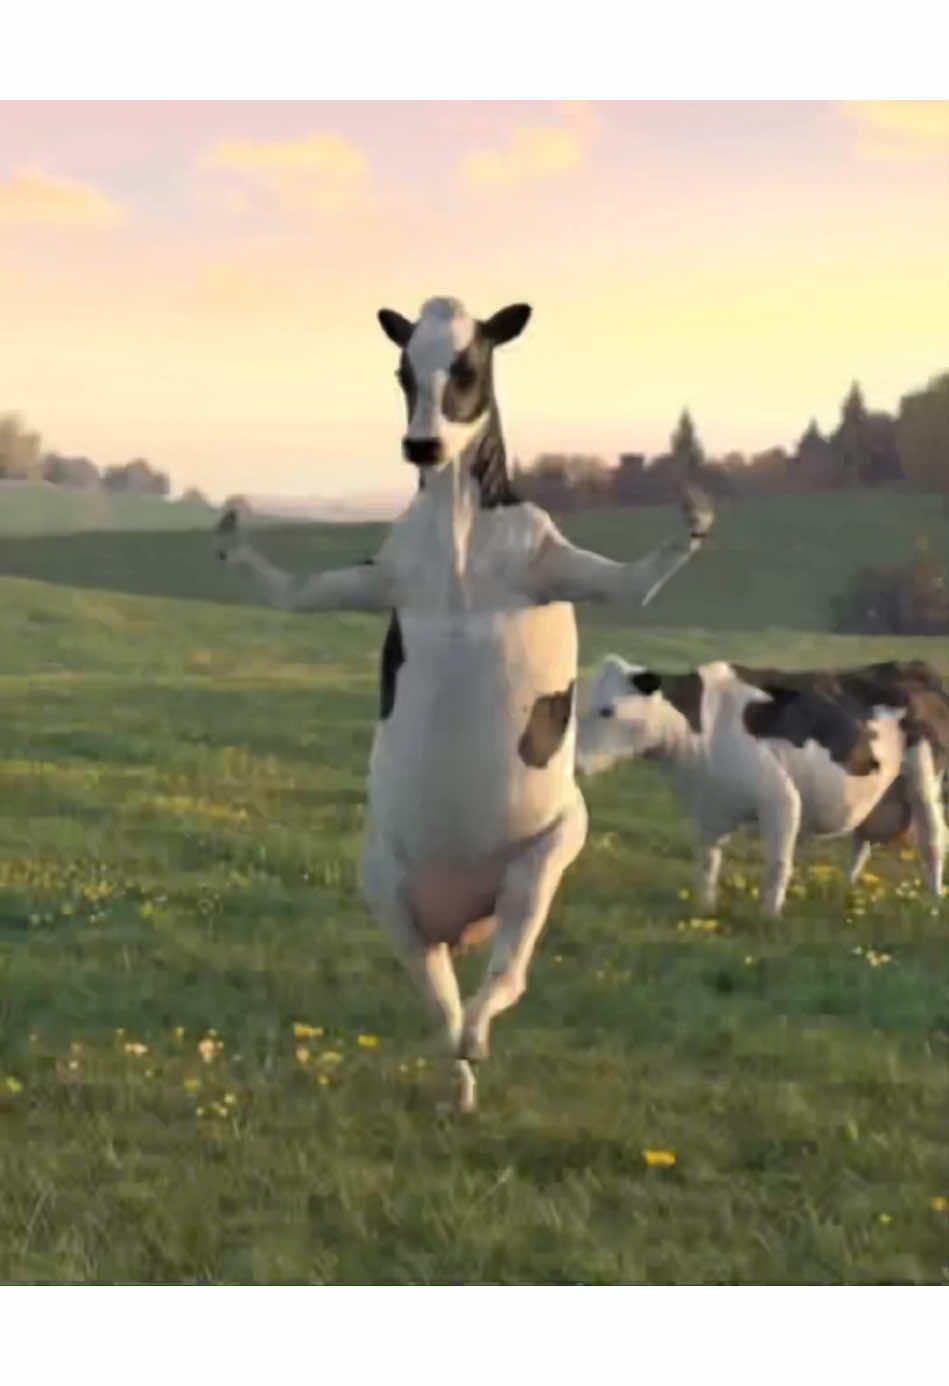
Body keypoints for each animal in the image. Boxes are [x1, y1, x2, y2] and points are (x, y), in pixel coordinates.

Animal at [214, 296, 714, 1111]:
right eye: (402, 370)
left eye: (468, 368)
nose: (421, 444)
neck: (459, 527)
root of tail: (460, 915)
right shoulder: (379, 577)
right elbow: (290, 592)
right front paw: (229, 534)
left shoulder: (557, 566)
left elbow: (638, 581)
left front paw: (694, 510)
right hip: (385, 883)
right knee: (439, 997)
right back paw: (459, 1070)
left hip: (546, 854)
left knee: (504, 976)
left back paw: (477, 1038)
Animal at [574, 656, 948, 917]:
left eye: (607, 710)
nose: (574, 761)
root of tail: (915, 666)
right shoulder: (708, 807)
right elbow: (707, 863)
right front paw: (704, 909)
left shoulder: (779, 799)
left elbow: (777, 865)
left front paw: (769, 917)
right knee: (863, 842)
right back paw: (847, 889)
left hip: (923, 776)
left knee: (932, 840)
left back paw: (932, 901)